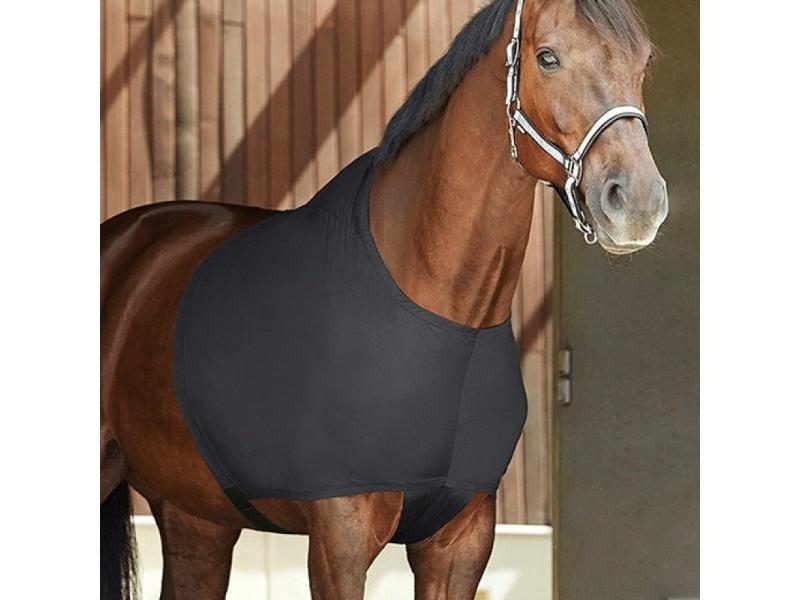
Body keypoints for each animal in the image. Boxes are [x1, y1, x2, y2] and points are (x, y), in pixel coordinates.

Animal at [100, 0, 667, 598]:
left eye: (643, 63)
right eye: (548, 57)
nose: (637, 202)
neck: (444, 317)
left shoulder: (461, 542)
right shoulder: (340, 541)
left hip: (197, 520)